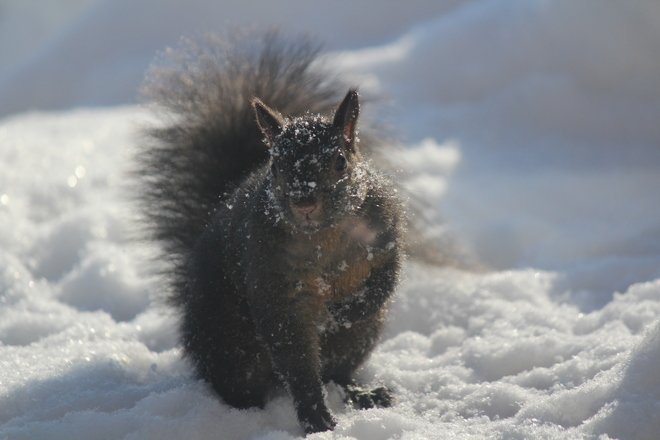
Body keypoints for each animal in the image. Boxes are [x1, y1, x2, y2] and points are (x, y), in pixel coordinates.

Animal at [137, 32, 404, 434]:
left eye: (340, 162)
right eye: (275, 166)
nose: (303, 201)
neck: (324, 237)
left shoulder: (384, 232)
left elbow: (386, 278)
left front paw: (344, 309)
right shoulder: (272, 273)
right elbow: (295, 353)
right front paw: (316, 418)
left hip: (360, 337)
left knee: (337, 373)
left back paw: (362, 393)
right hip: (230, 341)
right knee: (254, 379)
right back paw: (245, 414)